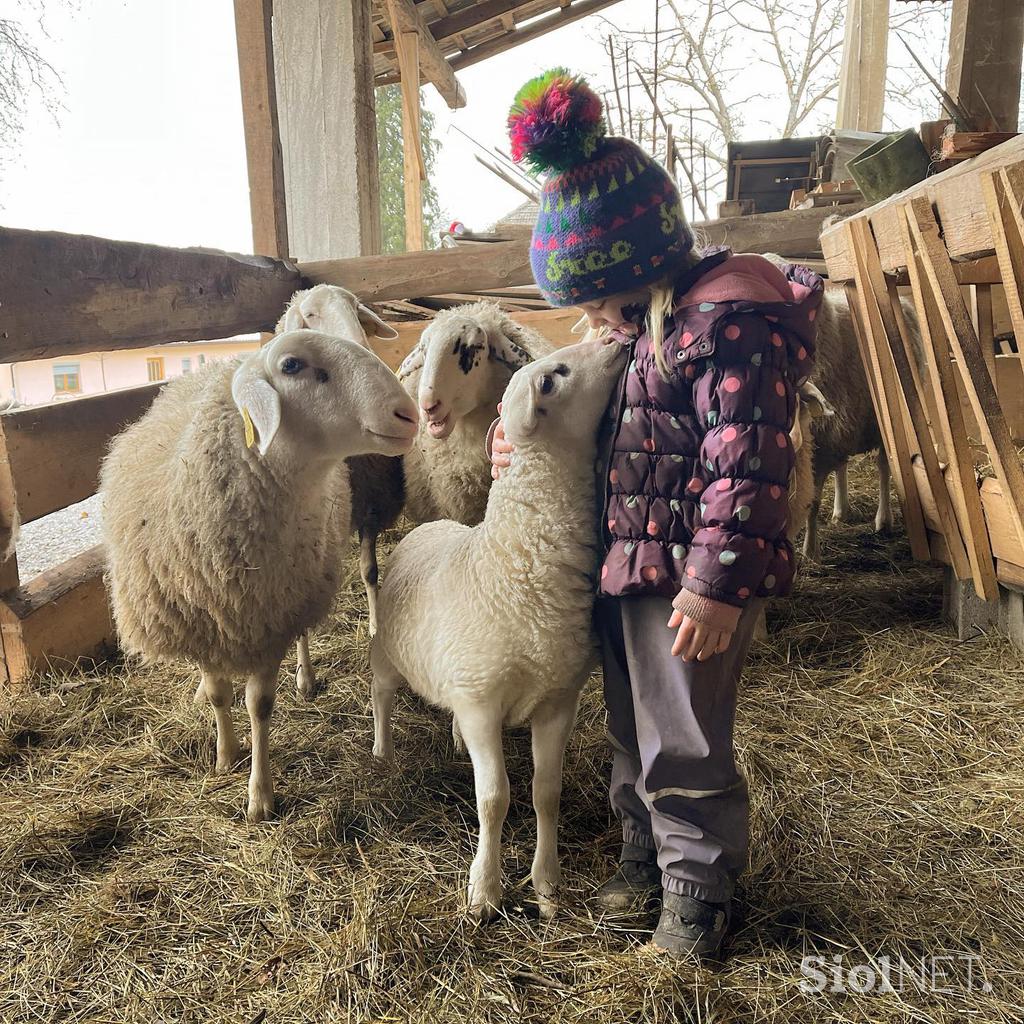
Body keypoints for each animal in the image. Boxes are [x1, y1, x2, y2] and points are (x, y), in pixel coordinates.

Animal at [101, 331, 421, 819]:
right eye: (291, 365)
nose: (409, 414)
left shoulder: (271, 621)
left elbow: (260, 705)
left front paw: (260, 795)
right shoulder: (202, 620)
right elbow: (220, 694)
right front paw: (225, 754)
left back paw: (305, 678)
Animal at [368, 337, 622, 921]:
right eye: (551, 378)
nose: (615, 340)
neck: (516, 559)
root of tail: (435, 526)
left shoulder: (557, 700)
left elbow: (545, 791)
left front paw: (547, 885)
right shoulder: (483, 704)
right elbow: (495, 799)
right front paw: (484, 891)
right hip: (388, 657)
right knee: (382, 697)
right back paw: (382, 754)